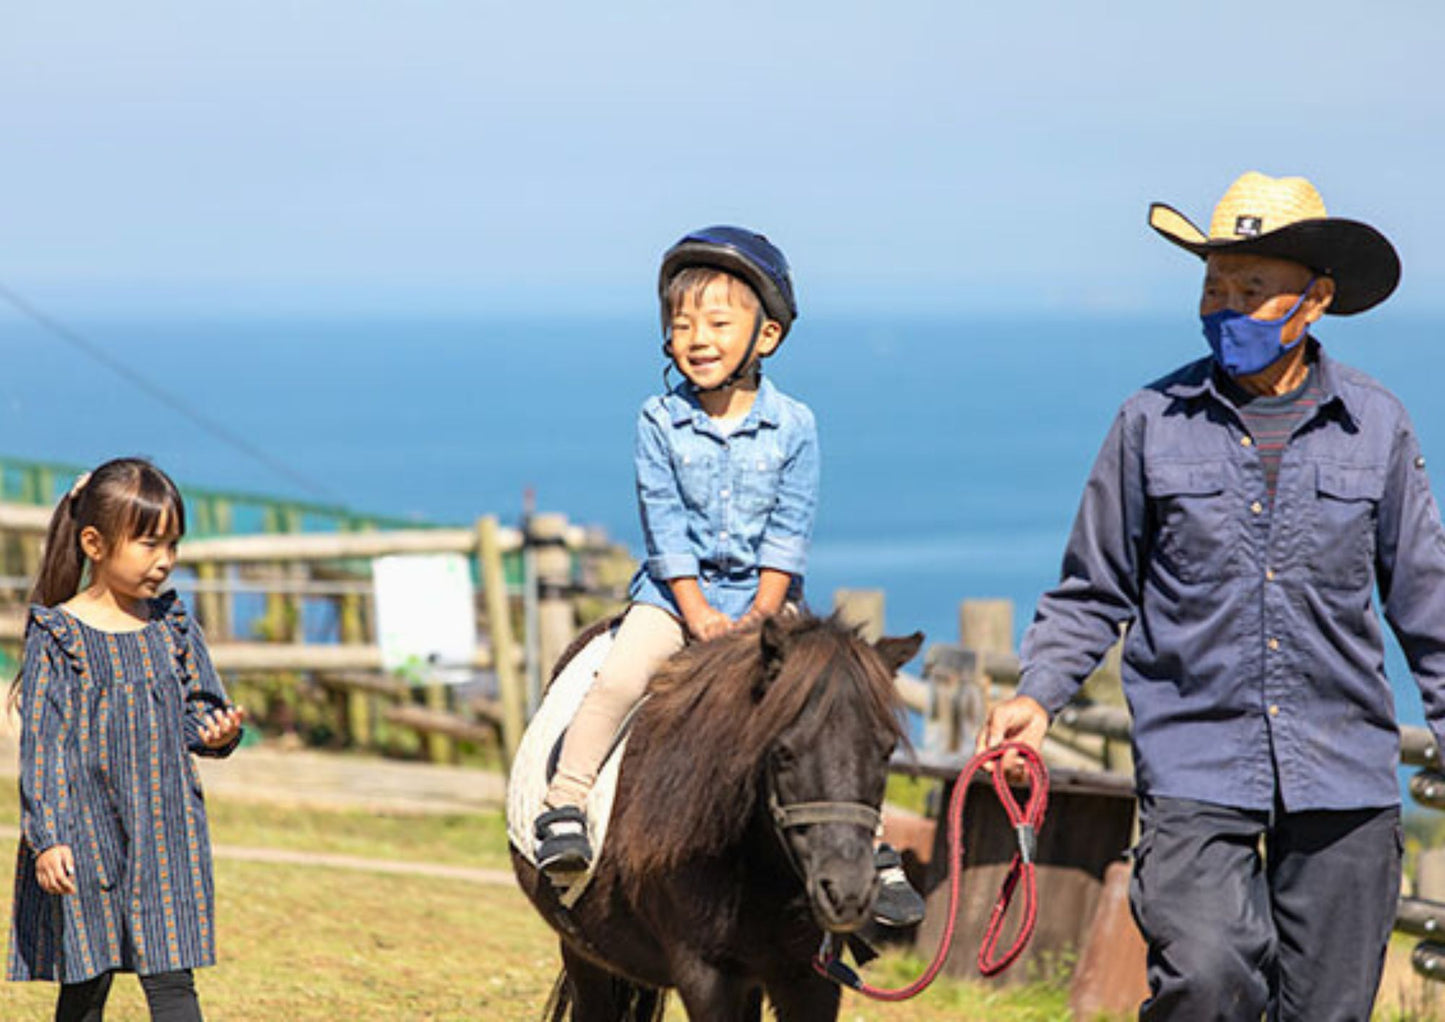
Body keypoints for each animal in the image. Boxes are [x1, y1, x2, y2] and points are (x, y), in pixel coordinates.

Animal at [514, 615, 919, 1022]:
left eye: (886, 751)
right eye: (783, 752)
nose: (847, 891)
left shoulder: (810, 978)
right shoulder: (706, 976)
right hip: (584, 953)